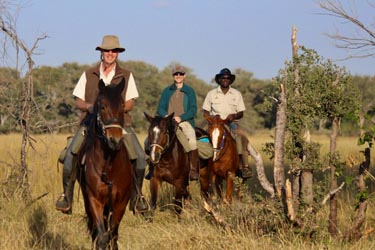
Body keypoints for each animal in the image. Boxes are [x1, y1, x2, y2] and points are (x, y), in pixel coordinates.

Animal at [78, 78, 132, 250]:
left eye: (122, 105)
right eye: (102, 106)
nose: (114, 140)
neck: (108, 165)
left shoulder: (120, 202)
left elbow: (113, 235)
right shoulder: (94, 200)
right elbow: (102, 236)